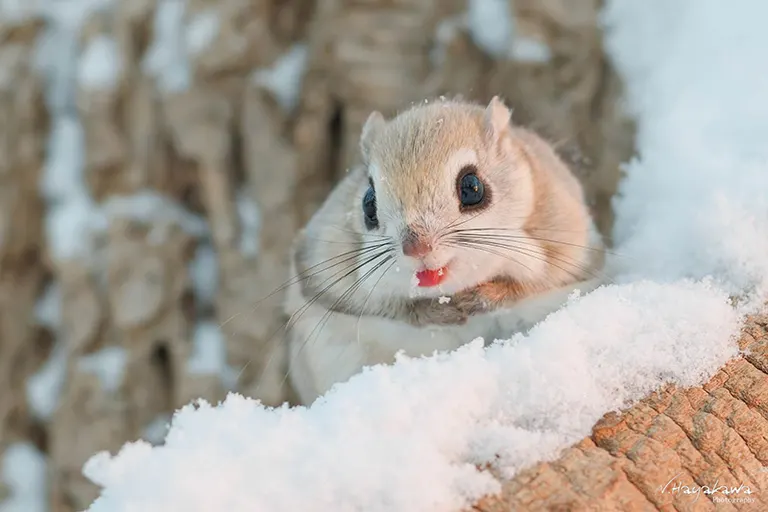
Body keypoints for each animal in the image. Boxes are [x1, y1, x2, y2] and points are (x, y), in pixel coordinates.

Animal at [282, 97, 608, 404]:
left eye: (472, 187)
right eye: (368, 202)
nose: (416, 247)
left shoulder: (569, 250)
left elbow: (529, 286)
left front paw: (483, 297)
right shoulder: (322, 268)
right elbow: (386, 306)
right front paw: (435, 312)